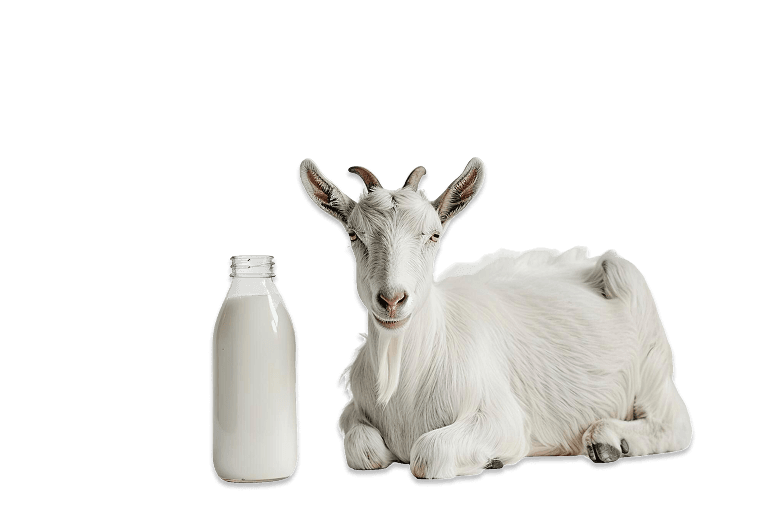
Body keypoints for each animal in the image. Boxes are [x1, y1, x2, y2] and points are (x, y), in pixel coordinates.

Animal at [299, 157, 693, 480]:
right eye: (354, 235)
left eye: (434, 235)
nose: (392, 300)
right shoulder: (352, 411)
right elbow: (365, 451)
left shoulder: (502, 419)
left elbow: (427, 453)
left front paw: (493, 460)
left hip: (650, 353)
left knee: (675, 423)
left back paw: (608, 439)